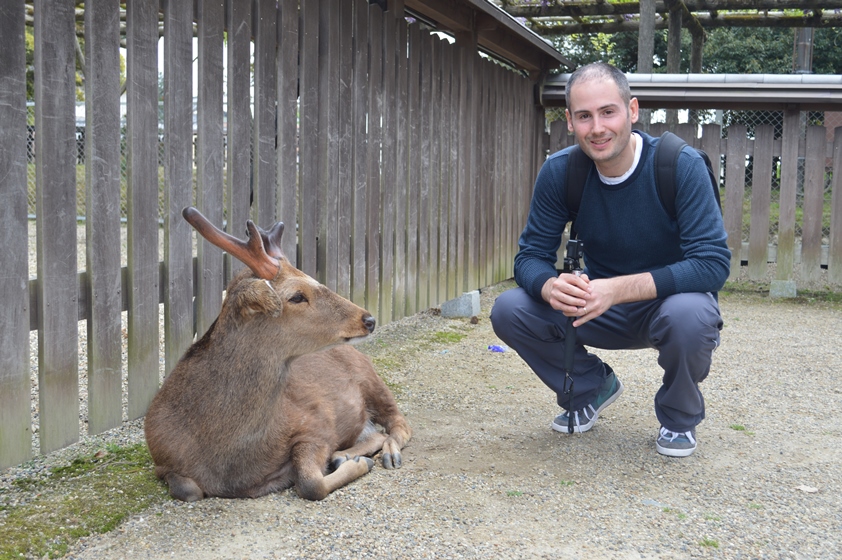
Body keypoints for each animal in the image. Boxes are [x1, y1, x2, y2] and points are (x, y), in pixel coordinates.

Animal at [145, 207, 414, 504]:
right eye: (296, 296)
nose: (369, 319)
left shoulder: (318, 423)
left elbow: (310, 483)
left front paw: (357, 463)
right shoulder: (160, 459)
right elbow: (188, 489)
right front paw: (350, 460)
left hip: (371, 379)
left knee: (399, 422)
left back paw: (382, 454)